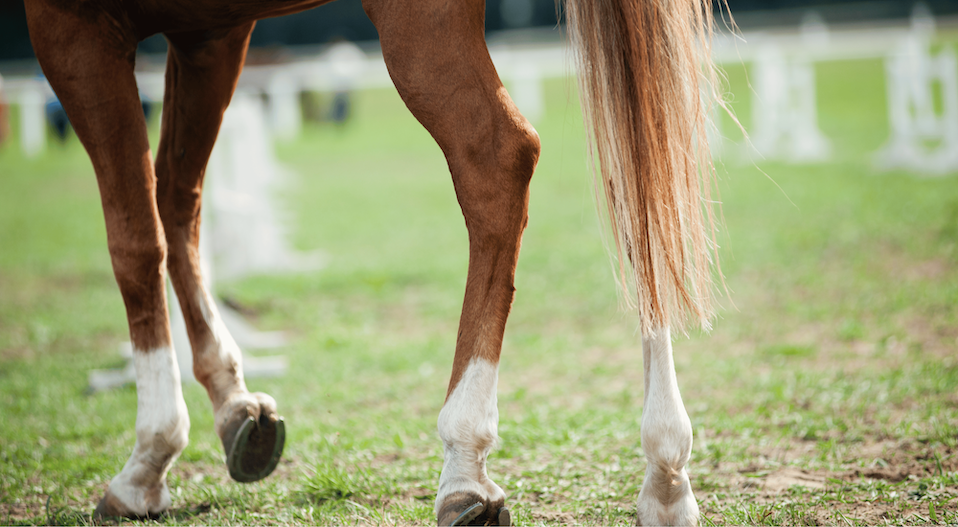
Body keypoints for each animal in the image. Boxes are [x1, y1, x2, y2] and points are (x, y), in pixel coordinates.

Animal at [24, 0, 720, 524]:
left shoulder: (75, 24)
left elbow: (134, 238)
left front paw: (150, 454)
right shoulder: (209, 31)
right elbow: (178, 204)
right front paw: (234, 405)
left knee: (497, 155)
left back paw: (464, 461)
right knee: (637, 173)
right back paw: (666, 472)